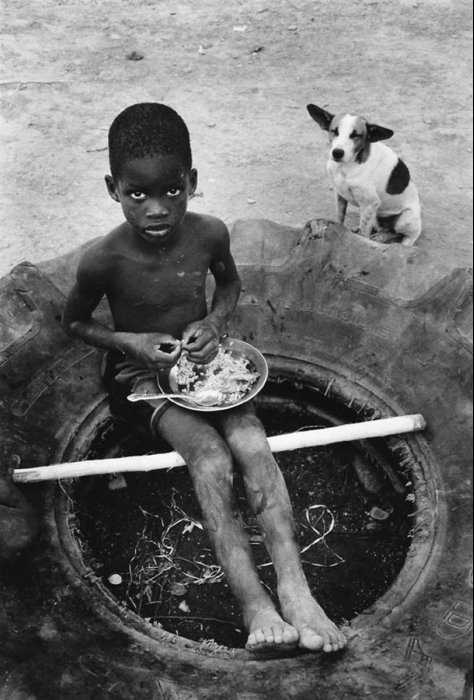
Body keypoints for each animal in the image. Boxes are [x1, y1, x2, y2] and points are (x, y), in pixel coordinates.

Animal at [308, 104, 422, 246]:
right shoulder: (340, 195)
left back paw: (400, 242)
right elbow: (340, 218)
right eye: (334, 131)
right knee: (383, 229)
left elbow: (364, 235)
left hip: (405, 218)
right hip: (376, 215)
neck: (346, 167)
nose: (337, 153)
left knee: (406, 234)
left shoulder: (370, 203)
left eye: (355, 135)